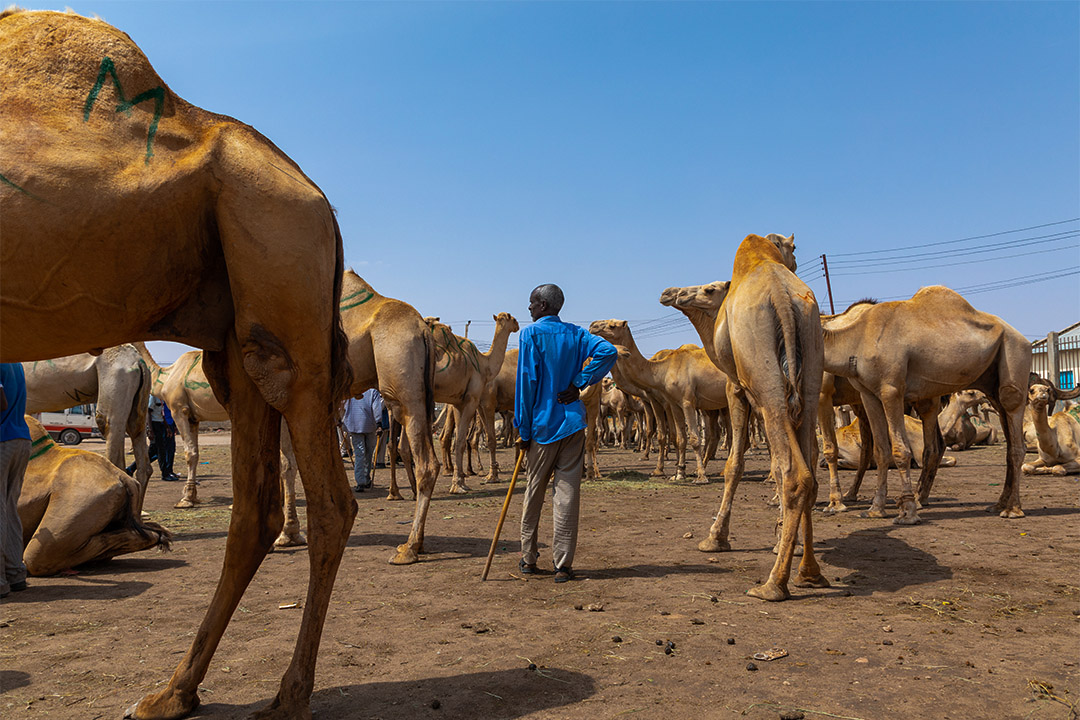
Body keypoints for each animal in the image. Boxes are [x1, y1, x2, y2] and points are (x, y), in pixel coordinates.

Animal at [656, 232, 825, 604]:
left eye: (708, 289)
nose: (669, 292)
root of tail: (783, 297)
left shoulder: (736, 387)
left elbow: (736, 463)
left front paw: (715, 537)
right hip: (808, 376)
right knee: (809, 470)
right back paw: (809, 572)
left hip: (767, 380)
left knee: (795, 475)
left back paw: (773, 584)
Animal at [816, 287, 1028, 524]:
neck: (855, 337)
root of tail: (1022, 338)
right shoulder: (868, 394)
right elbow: (881, 451)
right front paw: (875, 509)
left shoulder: (889, 390)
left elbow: (898, 450)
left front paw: (906, 512)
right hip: (989, 384)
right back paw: (998, 503)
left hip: (1013, 358)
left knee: (1014, 427)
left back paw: (1012, 509)